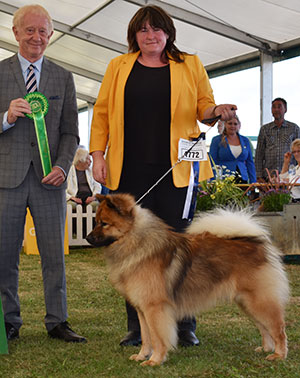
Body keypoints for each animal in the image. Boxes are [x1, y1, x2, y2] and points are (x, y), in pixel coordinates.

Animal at [86, 193, 288, 364]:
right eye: (96, 221)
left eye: (104, 223)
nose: (88, 238)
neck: (137, 243)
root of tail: (256, 243)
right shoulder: (142, 309)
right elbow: (146, 337)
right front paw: (142, 356)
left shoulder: (155, 308)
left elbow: (158, 338)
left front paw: (155, 360)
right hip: (247, 302)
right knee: (264, 327)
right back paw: (265, 348)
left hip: (259, 301)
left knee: (278, 328)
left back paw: (278, 355)